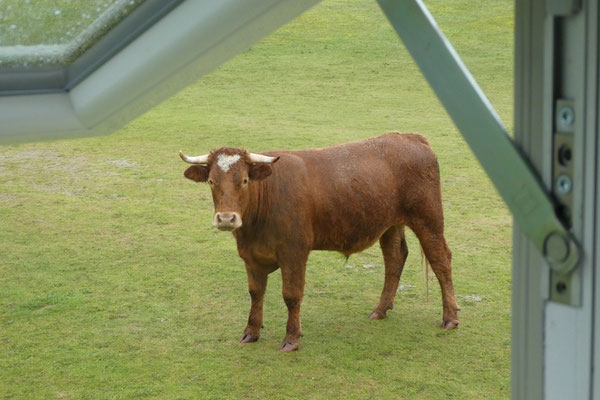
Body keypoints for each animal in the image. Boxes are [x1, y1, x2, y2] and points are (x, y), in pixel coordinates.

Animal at [180, 133, 458, 352]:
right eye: (211, 181)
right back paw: (380, 309)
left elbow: (291, 295)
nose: (227, 218)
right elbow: (255, 293)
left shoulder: (294, 253)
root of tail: (411, 137)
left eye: (245, 180)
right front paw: (251, 332)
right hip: (390, 224)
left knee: (441, 261)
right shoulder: (251, 256)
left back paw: (450, 318)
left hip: (428, 219)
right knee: (395, 259)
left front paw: (291, 339)